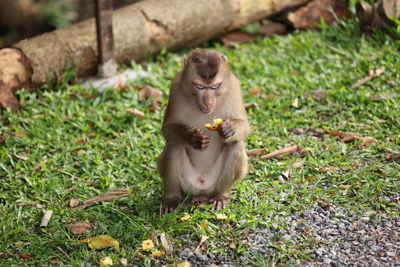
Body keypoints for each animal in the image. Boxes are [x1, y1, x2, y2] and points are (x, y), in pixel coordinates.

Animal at [157, 48, 248, 215]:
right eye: (199, 87)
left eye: (214, 87)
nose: (207, 102)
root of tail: (202, 186)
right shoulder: (176, 87)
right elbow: (168, 129)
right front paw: (193, 137)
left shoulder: (233, 87)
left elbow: (244, 127)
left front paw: (228, 129)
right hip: (187, 182)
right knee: (174, 145)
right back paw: (172, 198)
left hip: (214, 182)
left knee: (235, 144)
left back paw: (220, 196)